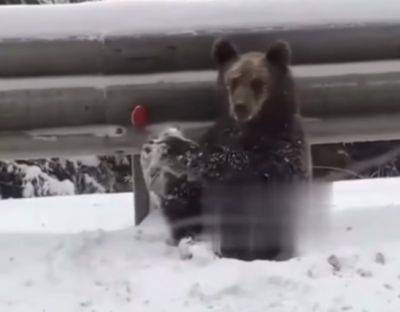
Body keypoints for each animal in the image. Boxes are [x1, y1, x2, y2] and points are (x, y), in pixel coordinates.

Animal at [141, 37, 310, 260]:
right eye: (233, 80)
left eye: (257, 82)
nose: (240, 106)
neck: (251, 129)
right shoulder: (219, 138)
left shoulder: (282, 148)